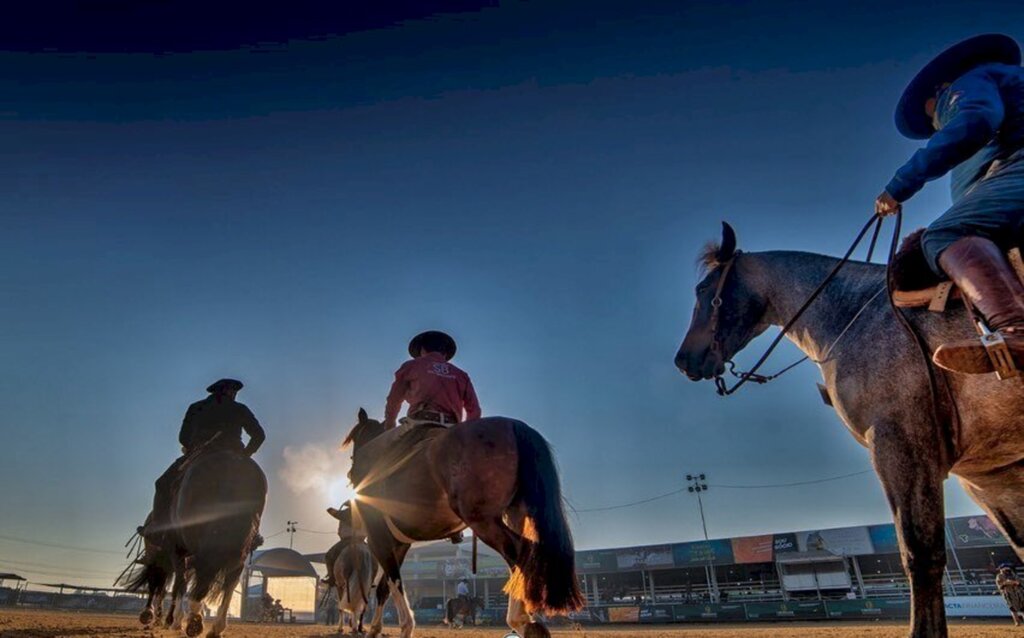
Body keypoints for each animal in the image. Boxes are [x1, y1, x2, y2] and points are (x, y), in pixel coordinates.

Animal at [344, 409, 585, 638]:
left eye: (355, 439)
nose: (350, 474)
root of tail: (514, 426)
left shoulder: (378, 539)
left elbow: (394, 582)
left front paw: (405, 626)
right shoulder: (399, 545)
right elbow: (384, 587)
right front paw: (376, 629)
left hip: (483, 520)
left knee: (521, 553)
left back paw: (521, 620)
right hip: (516, 514)